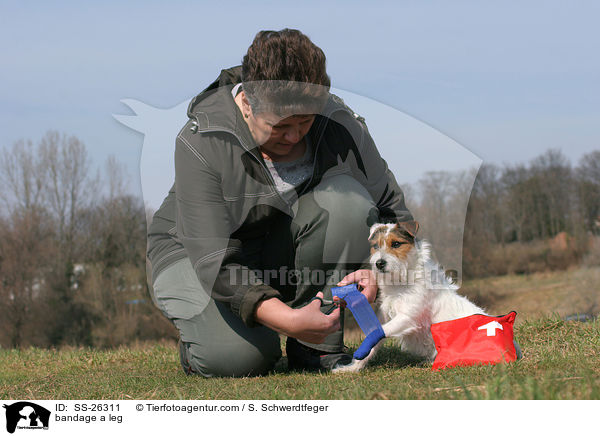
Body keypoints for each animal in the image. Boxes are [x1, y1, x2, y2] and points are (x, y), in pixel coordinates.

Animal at [332, 221, 488, 372]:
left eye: (396, 244)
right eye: (376, 246)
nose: (379, 263)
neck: (400, 281)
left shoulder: (408, 317)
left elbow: (377, 333)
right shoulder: (385, 318)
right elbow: (375, 338)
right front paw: (353, 367)